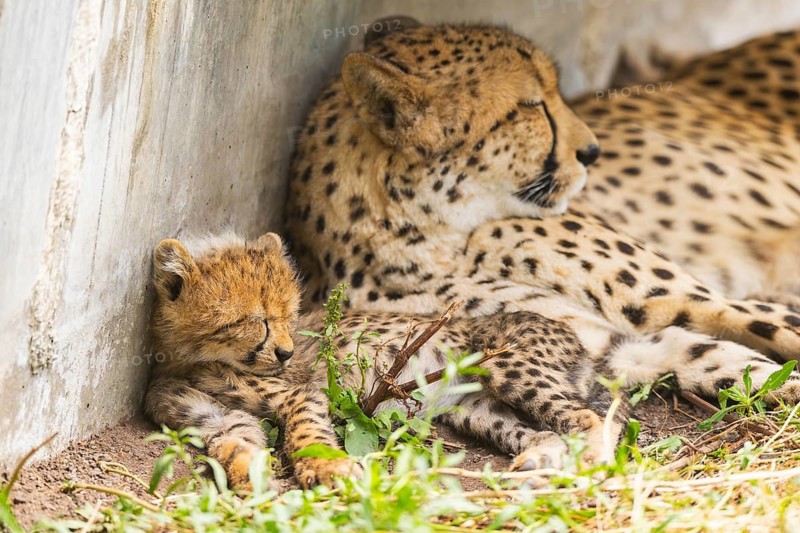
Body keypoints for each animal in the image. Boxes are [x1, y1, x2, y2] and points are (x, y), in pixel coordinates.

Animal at [144, 232, 800, 489]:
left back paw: (584, 460)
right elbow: (234, 439)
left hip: (509, 367)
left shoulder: (301, 391)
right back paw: (540, 458)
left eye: (288, 312)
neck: (199, 361)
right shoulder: (210, 415)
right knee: (550, 427)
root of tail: (582, 333)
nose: (281, 348)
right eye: (256, 318)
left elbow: (305, 431)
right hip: (469, 406)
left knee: (592, 417)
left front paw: (325, 471)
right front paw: (246, 473)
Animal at [284, 21, 800, 422]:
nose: (591, 151)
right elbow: (729, 360)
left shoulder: (698, 303)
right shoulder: (615, 342)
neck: (425, 239)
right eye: (530, 105)